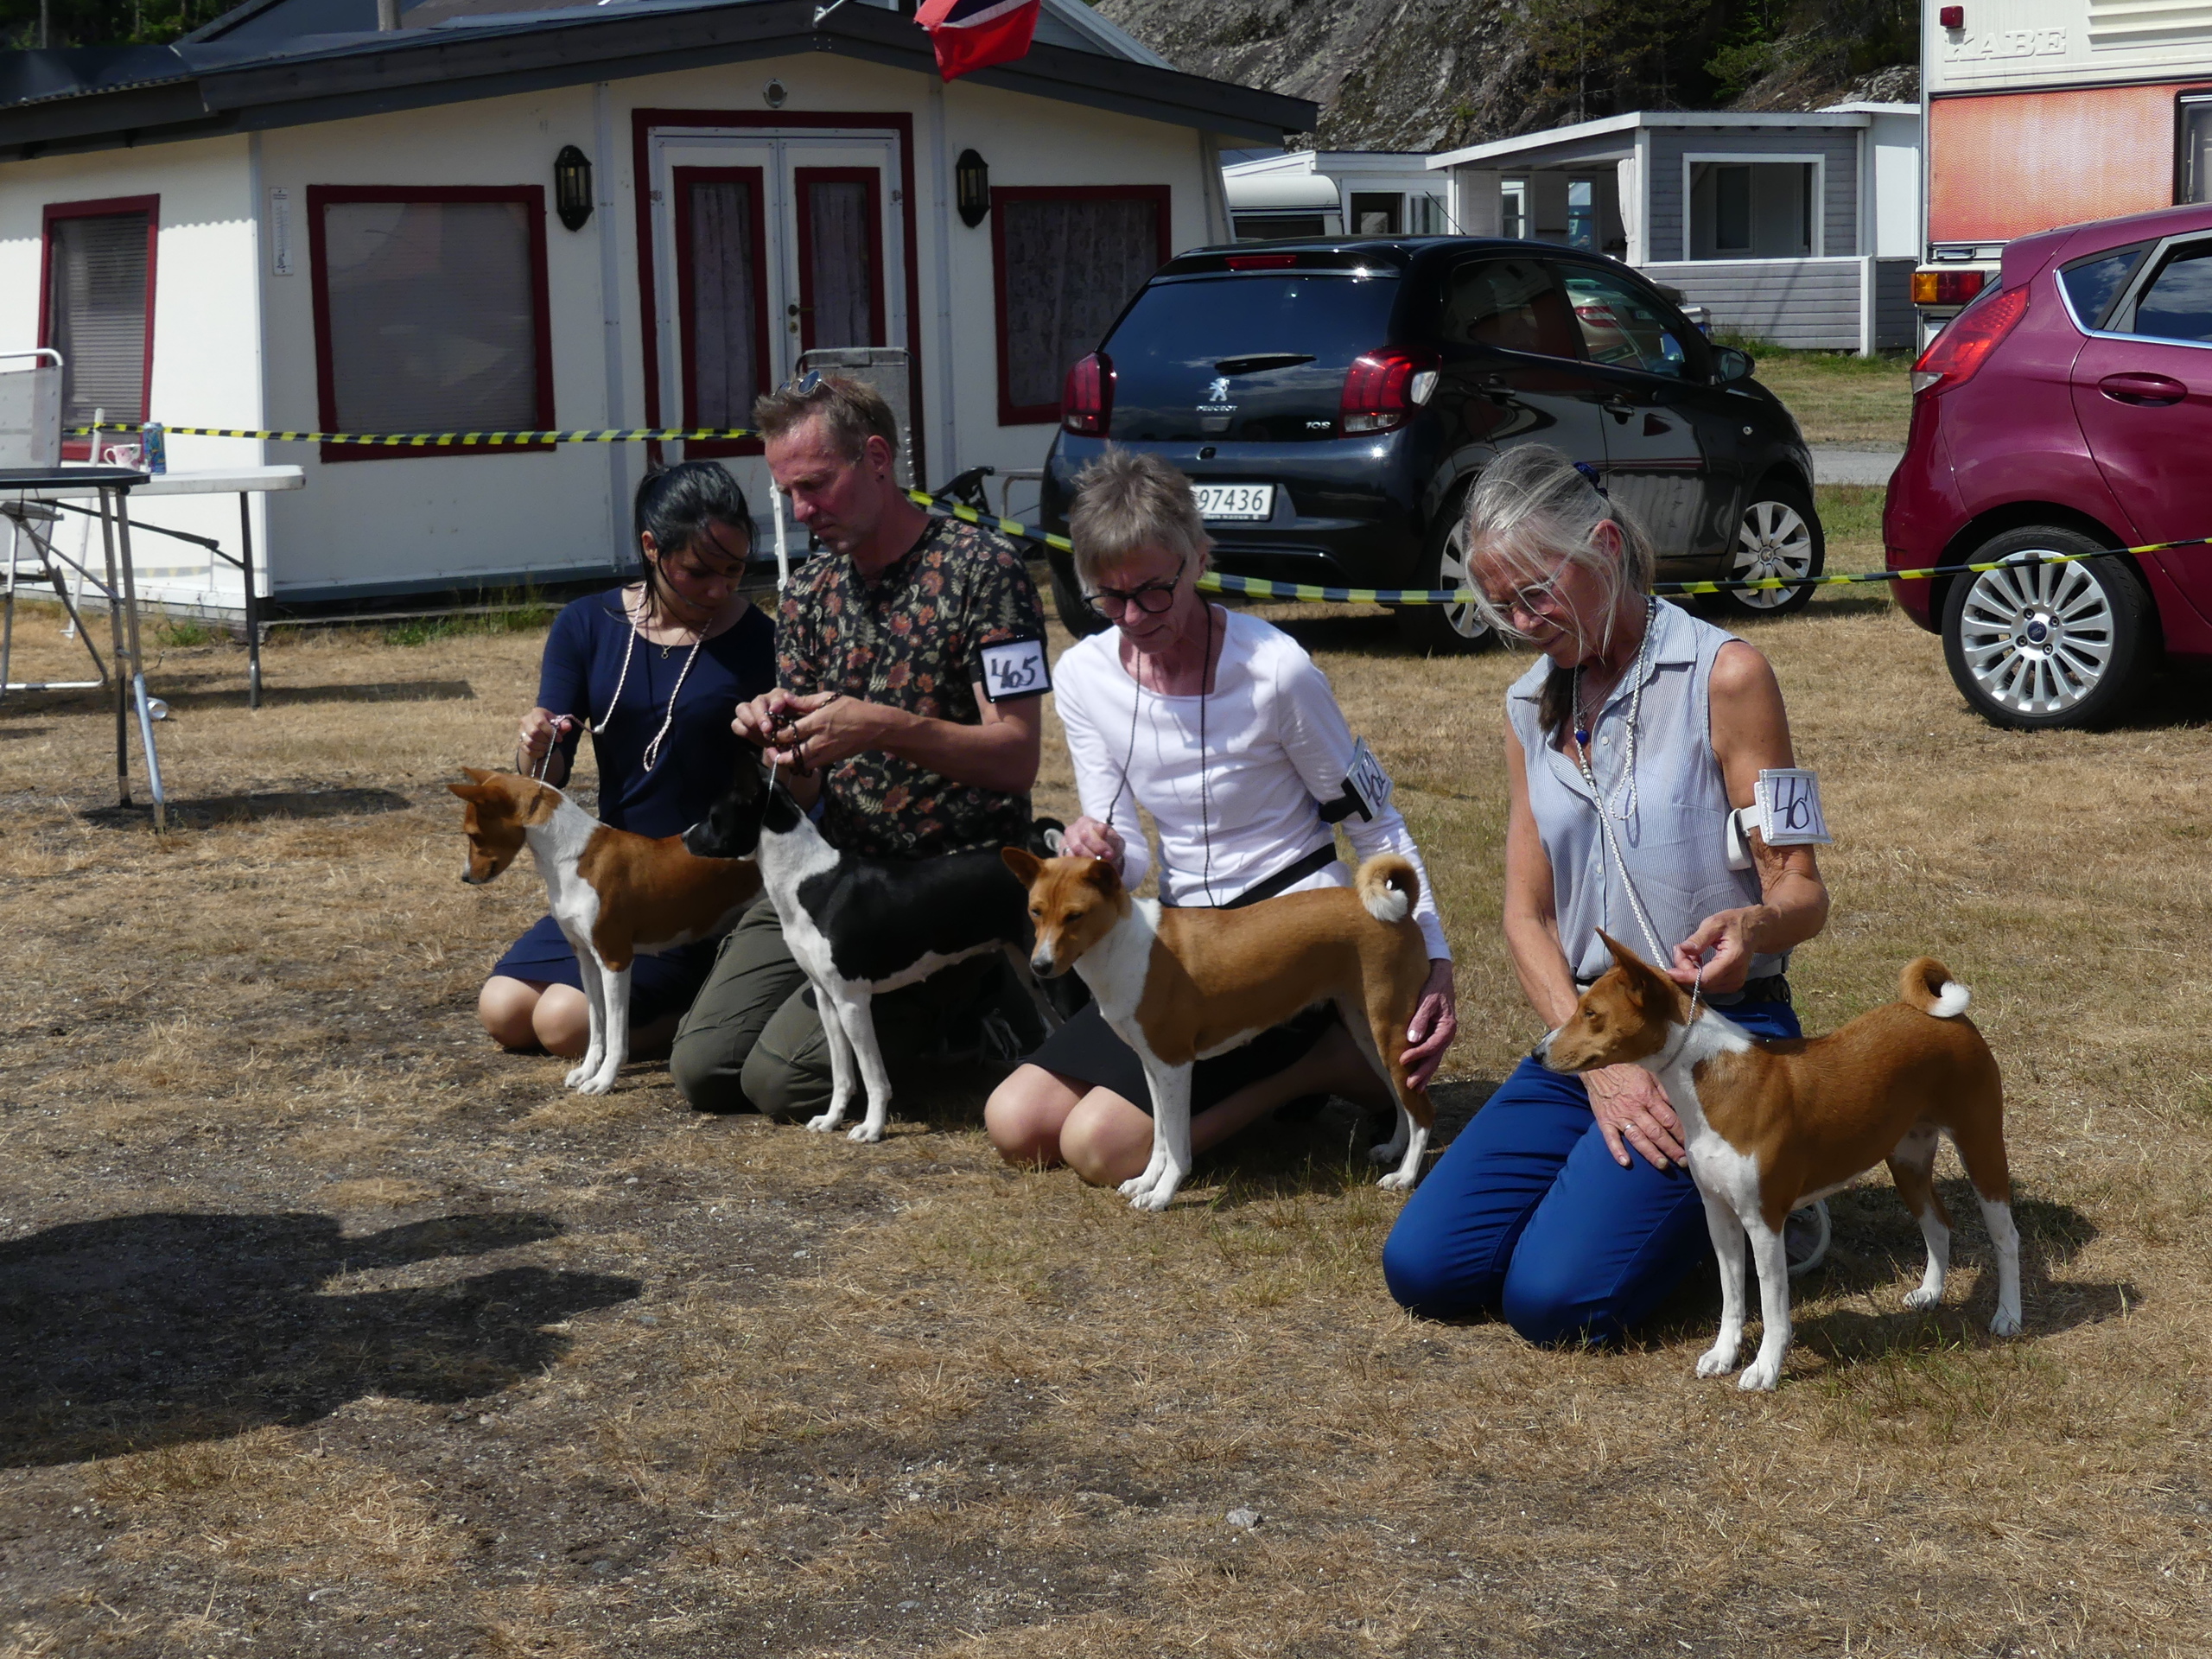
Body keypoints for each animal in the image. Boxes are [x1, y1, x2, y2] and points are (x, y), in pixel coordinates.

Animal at [449, 768, 761, 1094]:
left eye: (472, 834)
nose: (466, 877)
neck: (572, 859)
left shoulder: (615, 960)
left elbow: (615, 1032)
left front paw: (604, 1079)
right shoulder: (585, 957)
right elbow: (596, 1024)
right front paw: (587, 1070)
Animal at [682, 752, 1060, 1143]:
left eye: (713, 816)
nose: (684, 837)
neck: (809, 881)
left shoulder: (853, 1002)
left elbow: (873, 1076)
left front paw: (872, 1128)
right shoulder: (826, 999)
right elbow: (842, 1074)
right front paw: (831, 1120)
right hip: (1031, 973)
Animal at [1002, 848, 1436, 1212]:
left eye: (1075, 915)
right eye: (1035, 912)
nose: (1040, 966)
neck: (1124, 948)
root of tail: (1401, 912)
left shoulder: (1175, 1065)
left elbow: (1178, 1145)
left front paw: (1162, 1195)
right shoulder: (1152, 1065)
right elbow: (1160, 1137)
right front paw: (1145, 1182)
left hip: (1389, 1031)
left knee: (1422, 1112)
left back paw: (1405, 1176)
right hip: (1369, 1033)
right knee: (1400, 1098)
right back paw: (1392, 1150)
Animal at [1541, 933, 2022, 1390]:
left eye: (1590, 1013)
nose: (1538, 1052)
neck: (1714, 1084)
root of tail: (1953, 1020)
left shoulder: (1764, 1221)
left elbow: (1773, 1308)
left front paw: (1765, 1369)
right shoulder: (1718, 1213)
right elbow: (1732, 1297)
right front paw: (1724, 1355)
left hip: (1980, 1148)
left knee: (2006, 1237)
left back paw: (2009, 1316)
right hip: (1907, 1160)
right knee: (1937, 1223)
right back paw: (1930, 1293)